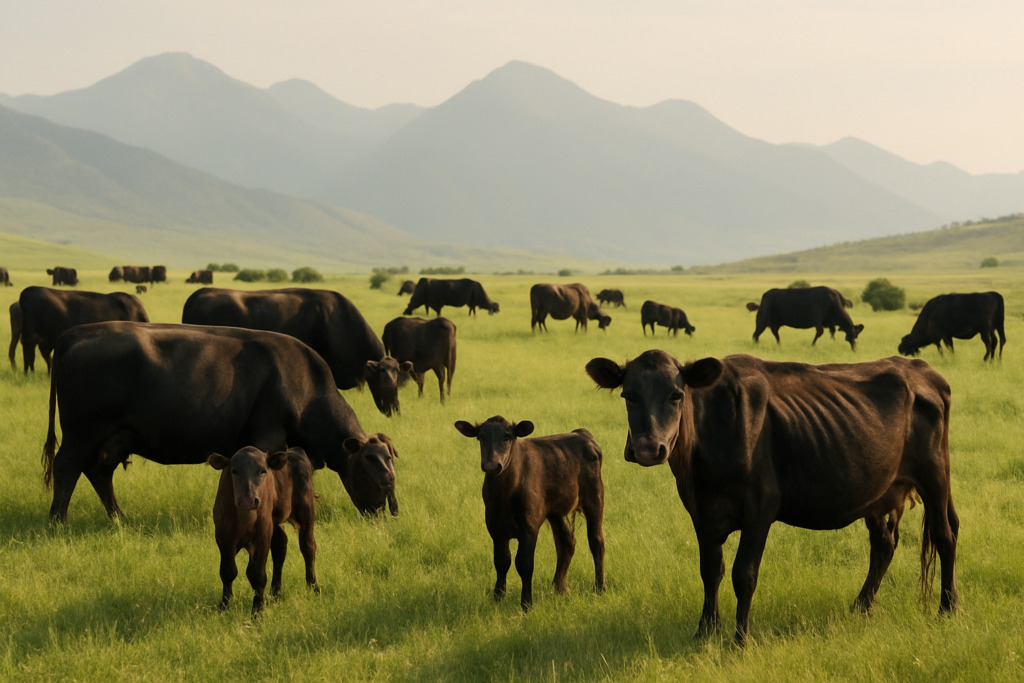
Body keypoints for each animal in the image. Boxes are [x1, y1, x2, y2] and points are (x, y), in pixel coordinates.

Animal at [42, 322, 399, 523]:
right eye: (374, 470)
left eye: (391, 462)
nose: (387, 515)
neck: (307, 388)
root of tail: (75, 333)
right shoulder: (268, 436)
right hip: (82, 434)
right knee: (67, 467)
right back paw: (57, 521)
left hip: (113, 438)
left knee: (99, 473)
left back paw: (119, 519)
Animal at [208, 446, 319, 616]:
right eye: (234, 471)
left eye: (263, 471)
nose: (247, 500)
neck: (244, 518)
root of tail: (295, 450)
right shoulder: (223, 536)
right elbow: (228, 571)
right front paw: (225, 606)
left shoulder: (262, 536)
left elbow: (257, 575)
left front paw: (257, 612)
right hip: (275, 521)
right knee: (280, 547)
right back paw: (275, 594)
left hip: (306, 512)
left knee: (308, 547)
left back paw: (313, 588)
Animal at [454, 416, 605, 611]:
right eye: (481, 437)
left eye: (507, 437)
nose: (491, 464)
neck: (505, 493)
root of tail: (580, 433)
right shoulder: (494, 526)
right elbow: (501, 561)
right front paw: (498, 597)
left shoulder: (529, 525)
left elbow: (524, 563)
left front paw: (526, 603)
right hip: (555, 511)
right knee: (566, 543)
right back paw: (559, 588)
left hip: (595, 498)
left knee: (596, 542)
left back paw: (599, 588)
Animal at [586, 350, 959, 645]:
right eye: (628, 395)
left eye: (677, 395)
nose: (648, 449)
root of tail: (920, 368)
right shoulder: (701, 512)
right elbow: (710, 571)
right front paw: (705, 630)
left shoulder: (760, 509)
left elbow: (744, 574)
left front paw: (740, 639)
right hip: (879, 491)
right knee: (884, 544)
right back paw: (861, 606)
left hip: (935, 473)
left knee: (945, 534)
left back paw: (948, 607)